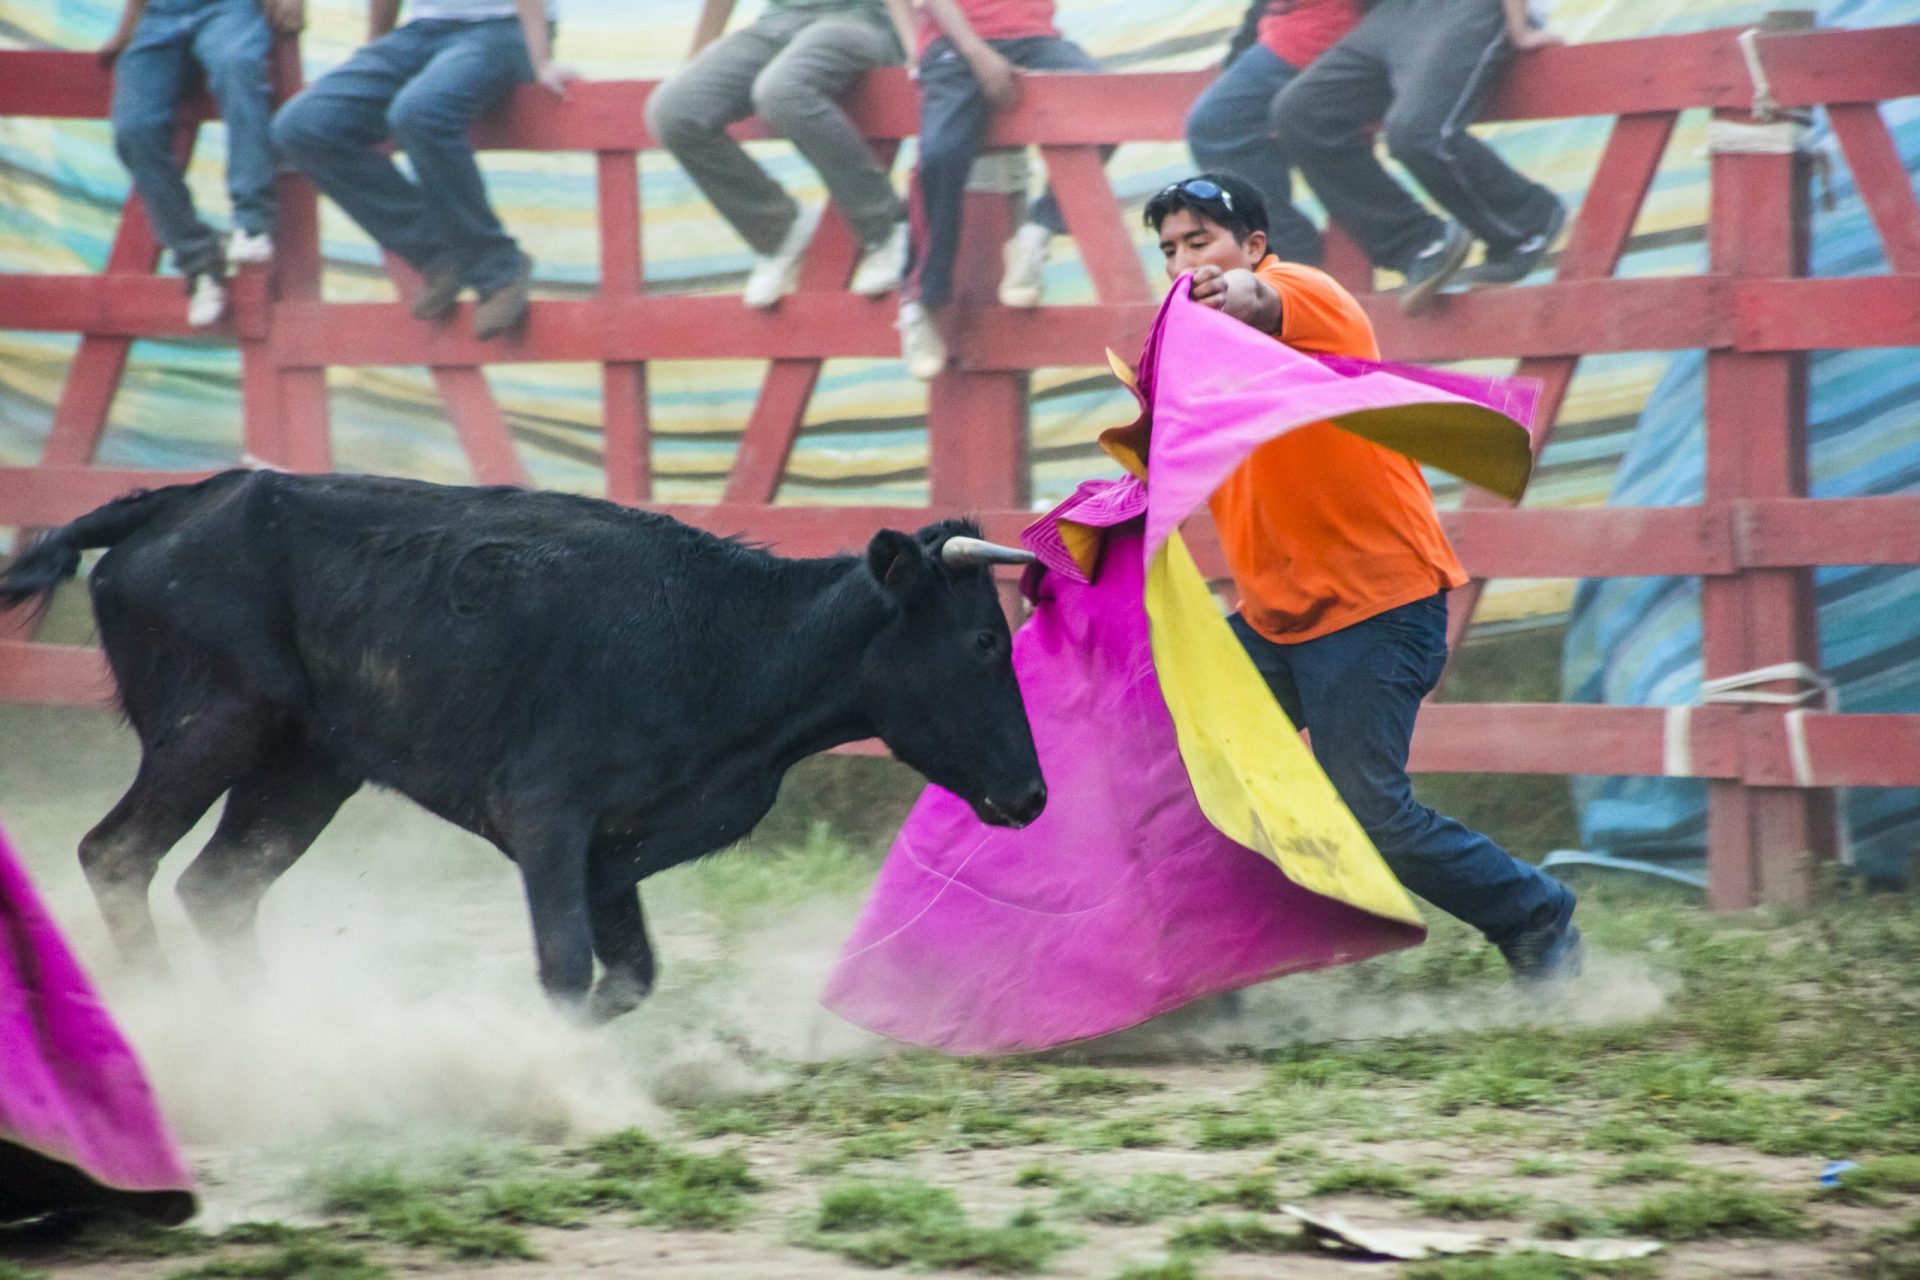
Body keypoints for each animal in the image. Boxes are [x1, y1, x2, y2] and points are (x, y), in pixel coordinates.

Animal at [0, 470, 1052, 1020]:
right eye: (982, 641)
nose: (1035, 796)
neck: (723, 641)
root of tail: (181, 499)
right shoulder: (548, 819)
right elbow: (566, 968)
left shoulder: (613, 852)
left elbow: (627, 977)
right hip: (213, 728)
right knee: (118, 852)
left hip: (305, 767)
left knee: (219, 885)